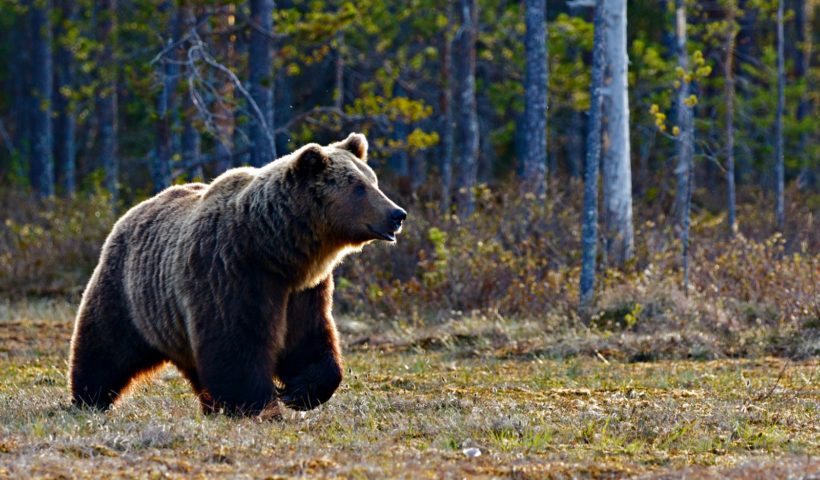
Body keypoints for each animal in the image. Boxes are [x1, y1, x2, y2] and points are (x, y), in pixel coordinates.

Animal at [67, 132, 406, 416]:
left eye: (373, 181)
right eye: (359, 187)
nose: (397, 214)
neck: (276, 249)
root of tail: (132, 211)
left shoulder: (304, 290)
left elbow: (309, 339)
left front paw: (299, 393)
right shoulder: (232, 271)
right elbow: (236, 342)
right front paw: (259, 405)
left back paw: (210, 405)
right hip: (129, 292)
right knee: (105, 345)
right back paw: (89, 398)